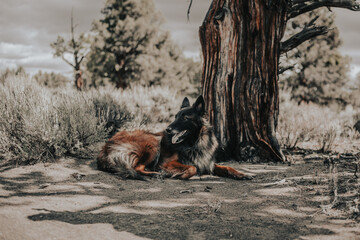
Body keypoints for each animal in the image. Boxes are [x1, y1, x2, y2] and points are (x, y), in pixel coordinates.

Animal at [97, 95, 252, 180]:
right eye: (175, 116)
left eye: (184, 117)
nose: (167, 129)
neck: (194, 144)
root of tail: (105, 147)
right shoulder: (167, 163)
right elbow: (192, 168)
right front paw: (180, 174)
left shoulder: (208, 163)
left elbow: (227, 167)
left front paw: (242, 174)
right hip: (152, 142)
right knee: (137, 168)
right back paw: (156, 174)